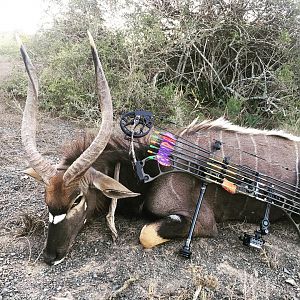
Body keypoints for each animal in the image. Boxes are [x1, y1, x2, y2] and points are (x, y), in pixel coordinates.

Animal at [19, 32, 300, 264]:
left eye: (77, 199)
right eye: (46, 199)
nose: (50, 256)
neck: (147, 167)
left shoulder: (203, 222)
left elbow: (145, 233)